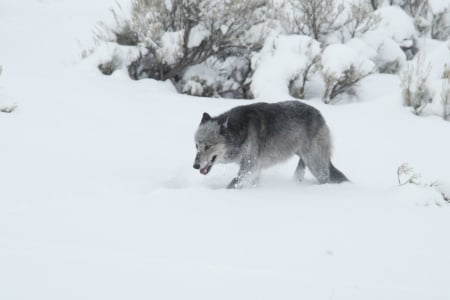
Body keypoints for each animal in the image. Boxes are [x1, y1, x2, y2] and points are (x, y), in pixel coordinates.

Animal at [193, 99, 348, 188]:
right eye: (196, 146)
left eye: (208, 146)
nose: (195, 166)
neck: (239, 132)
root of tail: (320, 115)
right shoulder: (254, 168)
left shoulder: (249, 166)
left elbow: (232, 185)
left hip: (316, 165)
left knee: (326, 179)